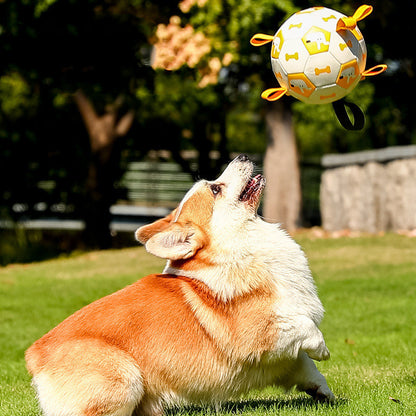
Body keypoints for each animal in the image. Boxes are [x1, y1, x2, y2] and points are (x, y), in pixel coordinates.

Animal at [25, 155, 332, 416]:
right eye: (216, 189)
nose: (242, 156)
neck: (242, 249)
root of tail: (35, 356)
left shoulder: (285, 355)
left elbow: (305, 366)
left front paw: (323, 392)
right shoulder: (260, 334)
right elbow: (307, 329)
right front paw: (323, 350)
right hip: (125, 376)